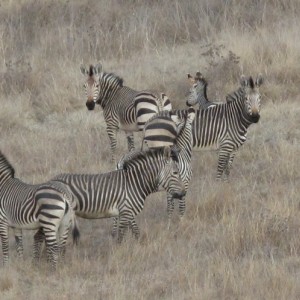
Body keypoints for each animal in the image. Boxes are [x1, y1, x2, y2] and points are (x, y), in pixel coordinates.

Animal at [51, 146, 185, 243]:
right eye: (175, 172)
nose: (183, 193)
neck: (134, 183)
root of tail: (53, 179)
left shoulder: (128, 211)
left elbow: (135, 230)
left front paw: (139, 244)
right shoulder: (125, 210)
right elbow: (122, 236)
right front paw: (119, 251)